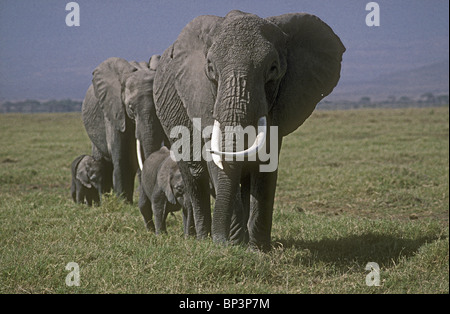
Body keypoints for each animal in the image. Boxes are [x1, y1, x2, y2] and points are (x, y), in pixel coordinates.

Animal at [153, 10, 346, 250]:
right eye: (210, 69)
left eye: (273, 69)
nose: (221, 242)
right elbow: (216, 161)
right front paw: (235, 246)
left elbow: (266, 162)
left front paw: (258, 249)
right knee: (194, 175)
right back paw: (202, 238)